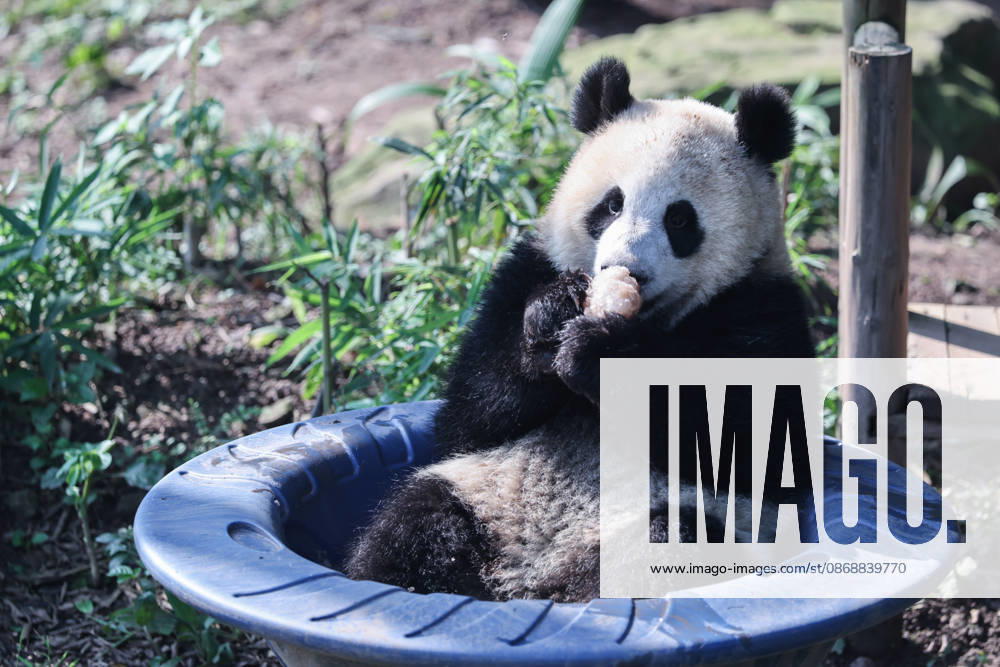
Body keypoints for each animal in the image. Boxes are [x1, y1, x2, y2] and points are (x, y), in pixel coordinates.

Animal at [344, 57, 815, 603]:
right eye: (611, 204)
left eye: (680, 219)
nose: (626, 269)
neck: (653, 321)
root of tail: (530, 580)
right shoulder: (523, 273)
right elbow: (467, 421)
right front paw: (550, 318)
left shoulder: (765, 310)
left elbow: (758, 447)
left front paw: (600, 355)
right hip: (486, 497)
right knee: (417, 524)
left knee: (670, 540)